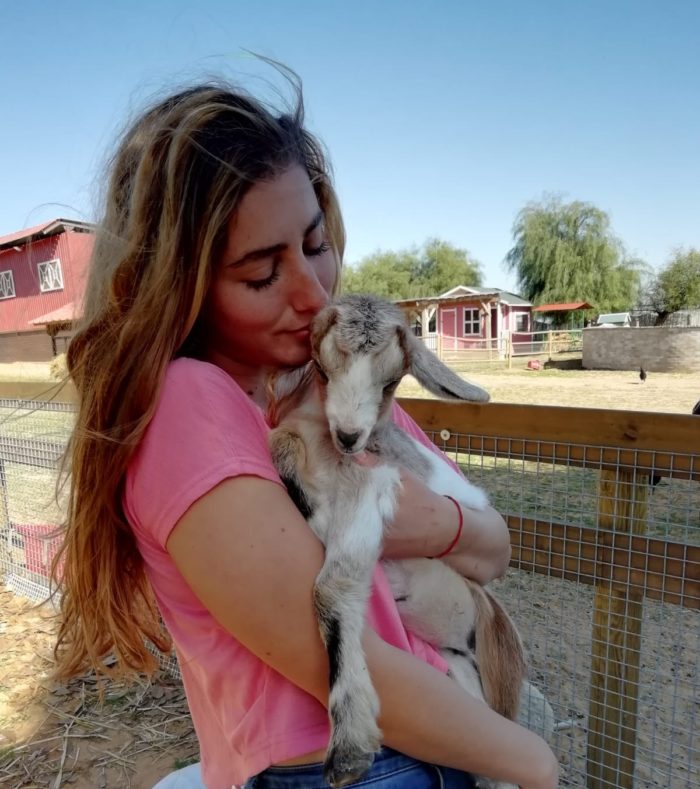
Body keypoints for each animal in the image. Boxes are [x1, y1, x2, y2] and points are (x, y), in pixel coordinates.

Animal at [268, 296, 524, 788]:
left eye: (391, 382)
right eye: (322, 370)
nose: (349, 436)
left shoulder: (377, 485)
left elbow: (331, 588)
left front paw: (349, 747)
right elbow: (280, 444)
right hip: (461, 672)